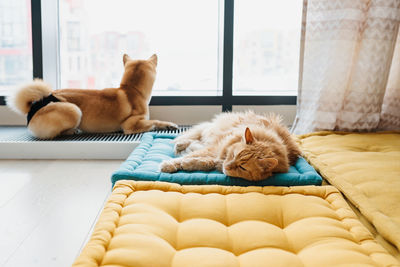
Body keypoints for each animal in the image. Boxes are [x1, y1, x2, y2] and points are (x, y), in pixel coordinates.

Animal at [6, 53, 177, 139]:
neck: (131, 89)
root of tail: (36, 104)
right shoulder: (130, 125)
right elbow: (153, 122)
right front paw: (166, 124)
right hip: (74, 111)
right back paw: (71, 131)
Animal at [159, 111, 300, 182]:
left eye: (242, 168)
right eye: (233, 155)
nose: (227, 166)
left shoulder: (215, 155)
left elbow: (204, 162)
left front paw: (187, 164)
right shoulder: (216, 149)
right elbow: (188, 158)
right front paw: (169, 165)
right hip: (211, 134)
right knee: (196, 137)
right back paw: (180, 145)